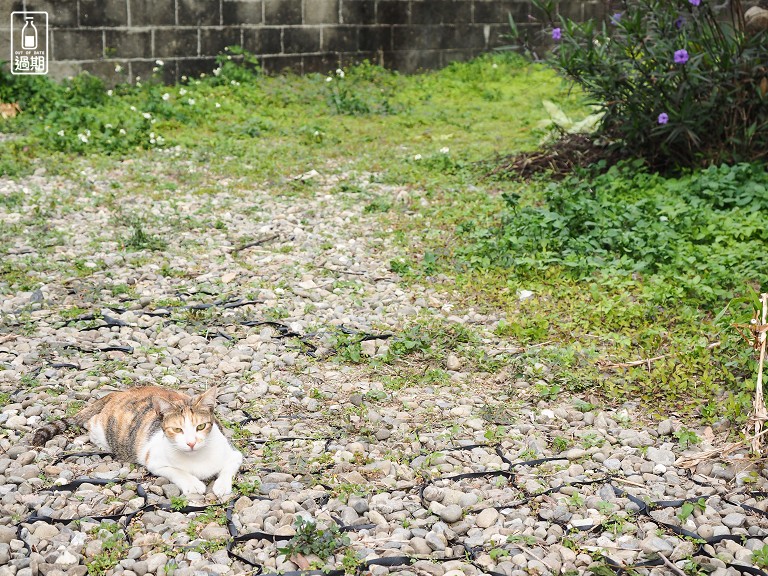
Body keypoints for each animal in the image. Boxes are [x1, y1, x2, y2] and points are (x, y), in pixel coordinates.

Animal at [31, 384, 242, 498]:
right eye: (177, 430)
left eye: (201, 427)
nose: (191, 443)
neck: (197, 458)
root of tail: (118, 393)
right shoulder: (154, 461)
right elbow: (177, 471)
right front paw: (192, 483)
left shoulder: (234, 454)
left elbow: (229, 467)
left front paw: (222, 485)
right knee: (90, 422)